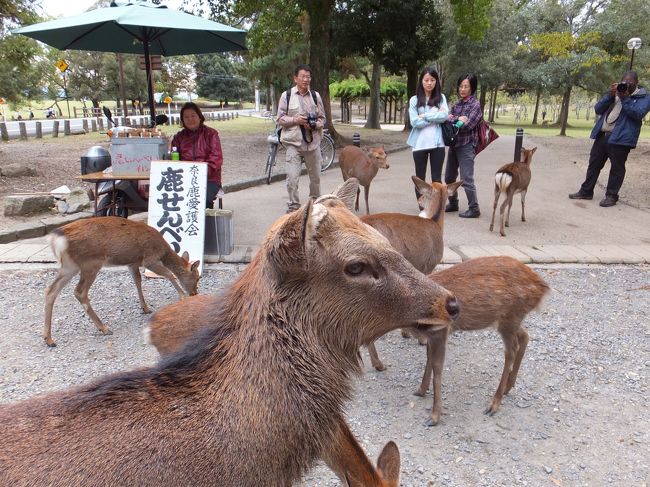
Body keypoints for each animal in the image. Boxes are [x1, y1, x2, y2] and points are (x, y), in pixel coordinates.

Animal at [43, 216, 201, 347]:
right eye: (198, 277)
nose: (194, 293)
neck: (164, 252)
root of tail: (57, 238)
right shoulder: (149, 259)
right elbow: (169, 274)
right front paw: (182, 296)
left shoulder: (133, 263)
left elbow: (137, 281)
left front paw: (145, 308)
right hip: (91, 263)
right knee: (79, 292)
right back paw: (104, 328)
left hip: (70, 266)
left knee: (51, 290)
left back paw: (49, 339)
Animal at [361, 176, 463, 371]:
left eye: (422, 195)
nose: (419, 201)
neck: (436, 222)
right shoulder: (428, 266)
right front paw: (422, 339)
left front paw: (406, 333)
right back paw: (378, 363)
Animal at [368, 256, 549, 426]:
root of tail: (543, 287)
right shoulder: (432, 335)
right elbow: (429, 359)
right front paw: (421, 390)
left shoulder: (441, 331)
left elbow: (437, 367)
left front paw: (434, 416)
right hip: (512, 319)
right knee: (525, 336)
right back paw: (508, 387)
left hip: (509, 317)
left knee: (511, 351)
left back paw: (494, 404)